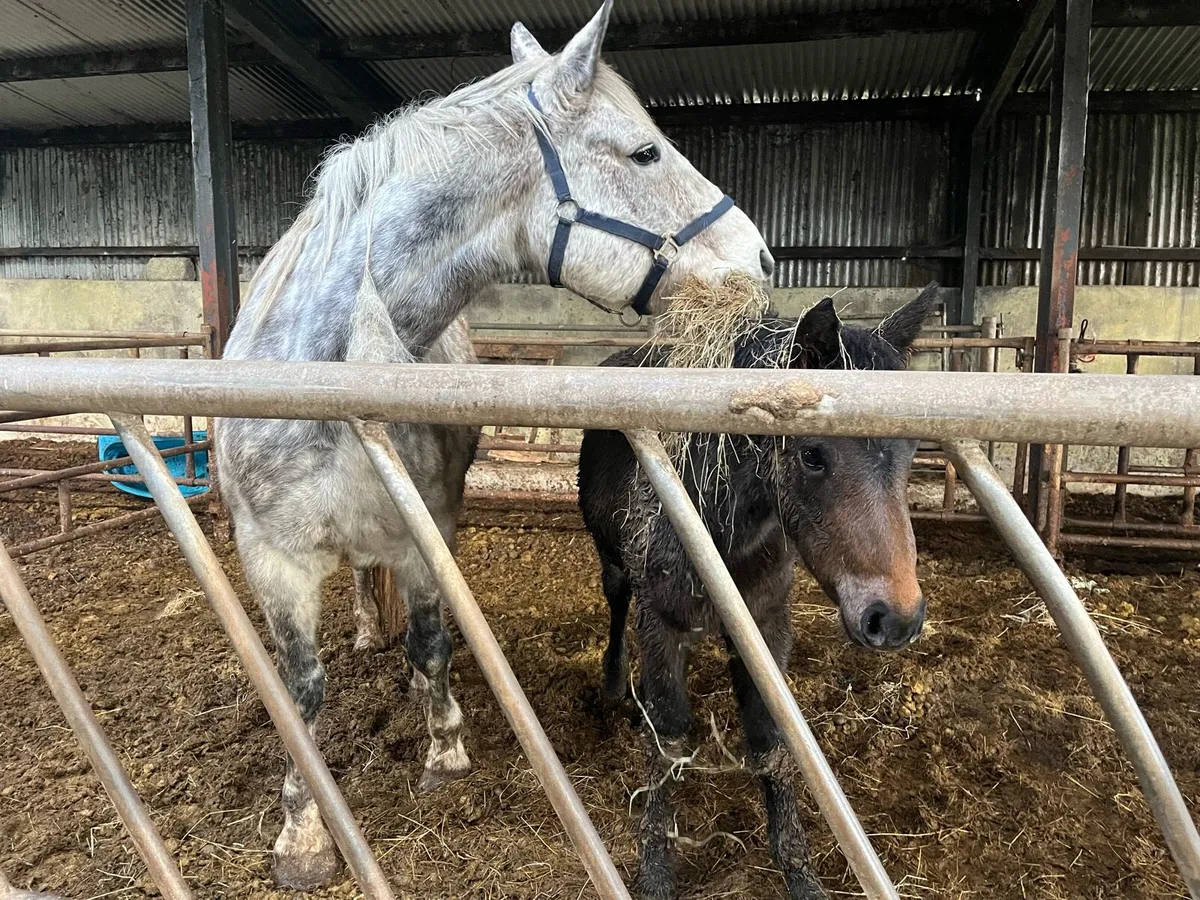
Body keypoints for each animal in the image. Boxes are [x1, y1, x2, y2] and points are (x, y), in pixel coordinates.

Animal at [214, 0, 773, 889]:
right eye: (643, 151)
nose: (761, 257)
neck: (329, 371)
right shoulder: (273, 560)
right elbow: (301, 693)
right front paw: (302, 832)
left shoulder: (423, 533)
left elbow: (433, 641)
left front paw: (443, 750)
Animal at [577, 285, 940, 900]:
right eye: (813, 454)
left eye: (911, 449)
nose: (895, 619)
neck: (720, 525)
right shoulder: (661, 625)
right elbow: (667, 736)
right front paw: (655, 871)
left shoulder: (766, 624)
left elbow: (771, 738)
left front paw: (798, 871)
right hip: (615, 569)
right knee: (616, 608)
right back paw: (612, 689)